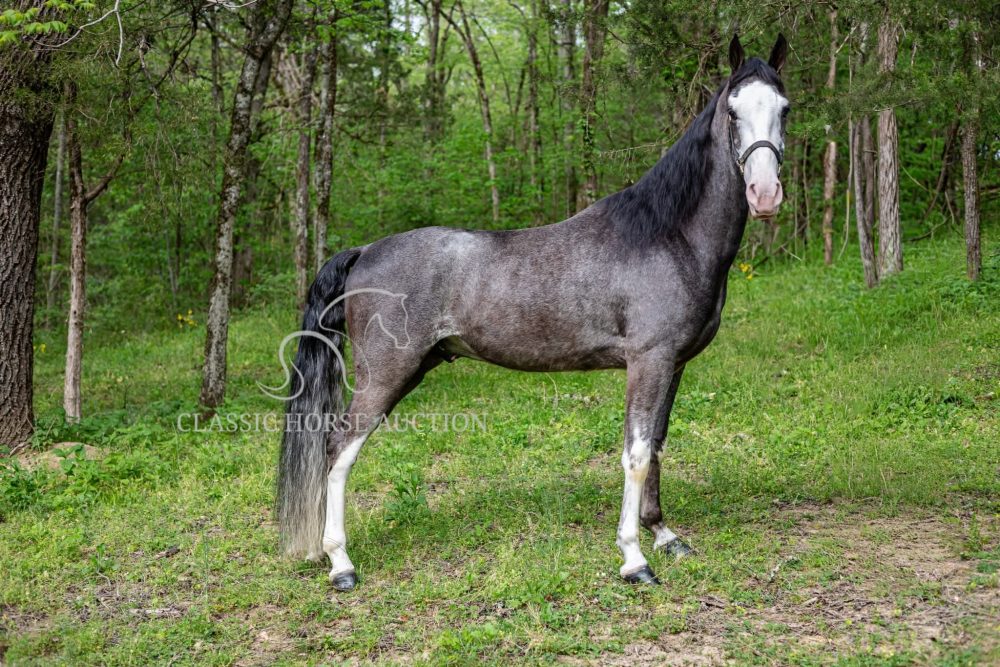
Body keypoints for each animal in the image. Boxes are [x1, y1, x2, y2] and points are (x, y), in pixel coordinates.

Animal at [276, 34, 790, 591]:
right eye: (733, 111)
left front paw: (664, 535)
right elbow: (634, 455)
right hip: (385, 375)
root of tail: (366, 250)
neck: (667, 235)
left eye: (784, 108)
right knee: (338, 450)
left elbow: (655, 444)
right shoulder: (648, 362)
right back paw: (340, 563)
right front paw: (634, 558)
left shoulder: (672, 365)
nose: (765, 194)